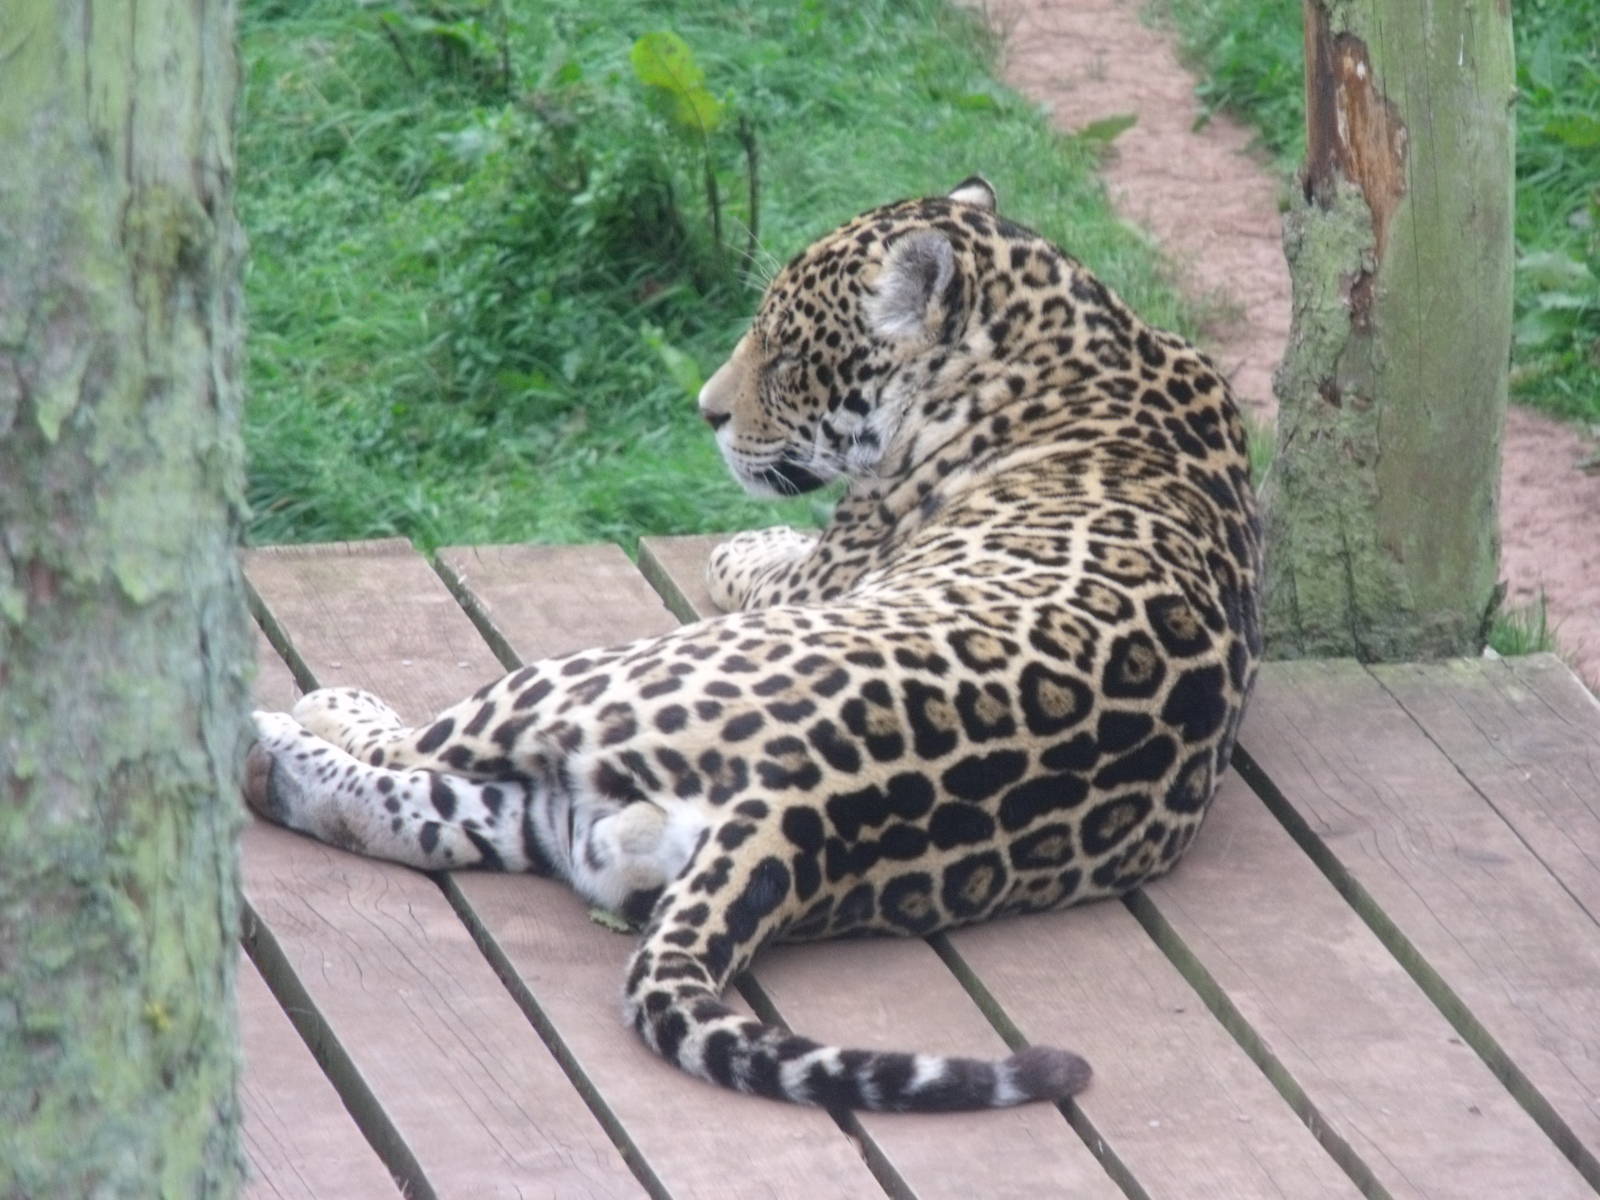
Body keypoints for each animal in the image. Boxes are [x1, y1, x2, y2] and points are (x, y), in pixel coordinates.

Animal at [245, 176, 1263, 1113]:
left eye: (786, 349)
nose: (706, 411)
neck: (1073, 333)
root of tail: (800, 813)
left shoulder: (830, 566)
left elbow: (750, 556)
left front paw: (742, 539)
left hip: (588, 675)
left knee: (414, 750)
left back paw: (305, 716)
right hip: (584, 819)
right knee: (422, 810)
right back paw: (281, 771)